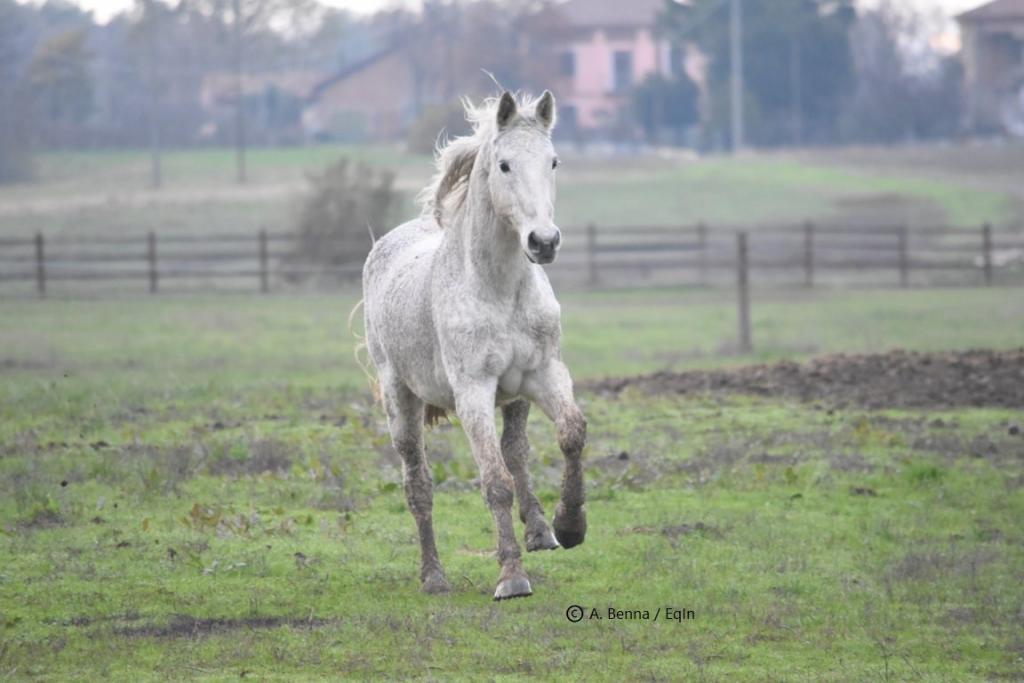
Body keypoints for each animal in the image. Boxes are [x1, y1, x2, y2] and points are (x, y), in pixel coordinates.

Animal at [362, 90, 585, 598]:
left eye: (553, 161)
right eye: (503, 165)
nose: (543, 242)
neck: (498, 288)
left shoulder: (545, 373)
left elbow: (571, 434)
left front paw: (570, 526)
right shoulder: (472, 393)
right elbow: (494, 480)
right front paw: (512, 576)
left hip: (516, 395)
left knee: (516, 450)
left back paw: (540, 531)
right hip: (401, 402)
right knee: (418, 485)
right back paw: (433, 576)